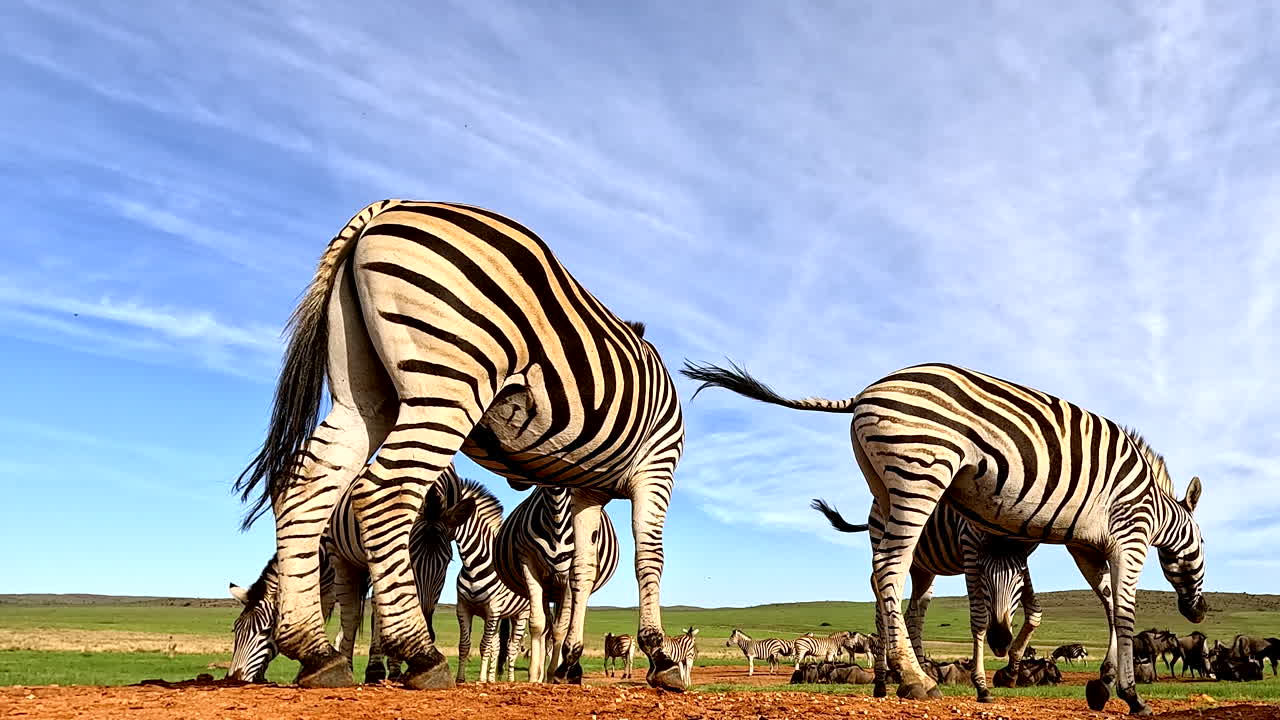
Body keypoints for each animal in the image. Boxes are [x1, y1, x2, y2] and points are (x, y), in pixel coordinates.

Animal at [493, 486, 620, 682]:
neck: (556, 511)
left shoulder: (568, 576)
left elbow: (560, 629)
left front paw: (554, 673)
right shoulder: (529, 564)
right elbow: (537, 623)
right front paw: (534, 676)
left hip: (561, 590)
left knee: (560, 626)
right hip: (547, 588)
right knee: (546, 627)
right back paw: (541, 674)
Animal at [812, 498, 1047, 699]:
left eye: (1020, 574)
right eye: (982, 573)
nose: (999, 643)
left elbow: (1035, 613)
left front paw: (1010, 673)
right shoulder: (969, 546)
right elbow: (979, 618)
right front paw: (982, 686)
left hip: (923, 568)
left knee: (913, 616)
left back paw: (920, 672)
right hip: (890, 544)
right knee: (882, 611)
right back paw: (881, 683)